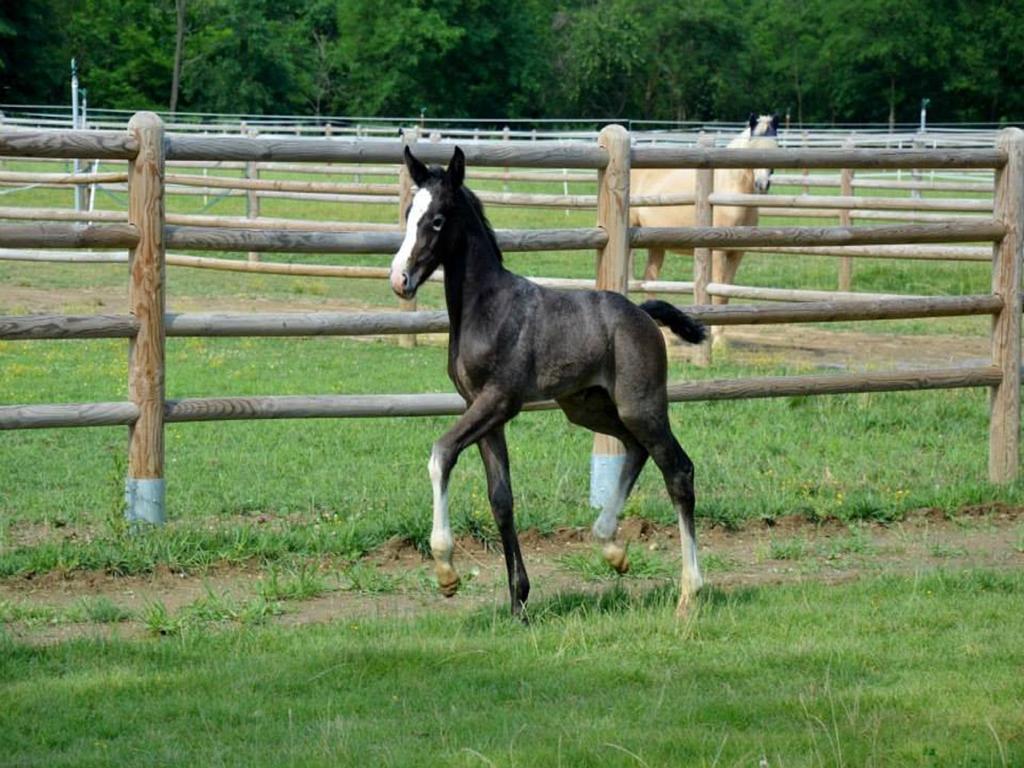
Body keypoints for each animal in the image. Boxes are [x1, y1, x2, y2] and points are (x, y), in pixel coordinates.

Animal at [387, 145, 708, 618]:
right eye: (410, 213)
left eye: (438, 220)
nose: (399, 279)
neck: (488, 308)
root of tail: (642, 313)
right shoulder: (481, 410)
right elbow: (501, 498)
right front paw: (518, 600)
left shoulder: (500, 401)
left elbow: (441, 453)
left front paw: (446, 572)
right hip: (587, 406)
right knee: (635, 449)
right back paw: (612, 547)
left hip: (641, 406)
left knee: (678, 470)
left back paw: (689, 591)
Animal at [626, 112, 778, 319]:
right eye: (752, 148)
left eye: (775, 147)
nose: (762, 184)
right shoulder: (718, 252)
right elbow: (718, 296)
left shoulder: (737, 253)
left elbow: (725, 295)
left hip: (657, 244)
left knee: (650, 279)